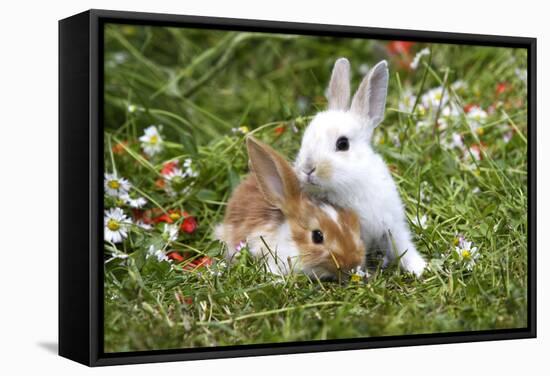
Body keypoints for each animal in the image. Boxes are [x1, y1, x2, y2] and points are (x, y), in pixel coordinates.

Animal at [296, 58, 430, 276]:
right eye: (304, 138)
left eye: (342, 144)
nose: (307, 168)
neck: (350, 185)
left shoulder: (391, 223)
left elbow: (403, 245)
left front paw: (419, 268)